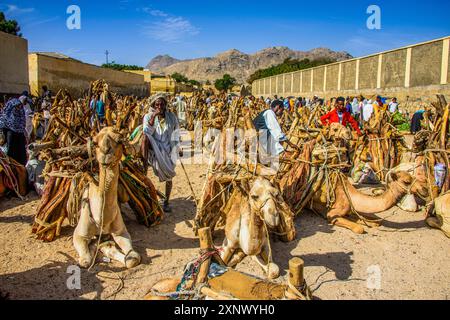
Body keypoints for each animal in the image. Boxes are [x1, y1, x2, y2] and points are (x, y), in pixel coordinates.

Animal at [72, 126, 141, 268]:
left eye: (119, 140)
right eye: (95, 143)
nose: (105, 153)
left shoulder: (121, 231)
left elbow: (132, 259)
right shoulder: (79, 234)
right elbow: (85, 261)